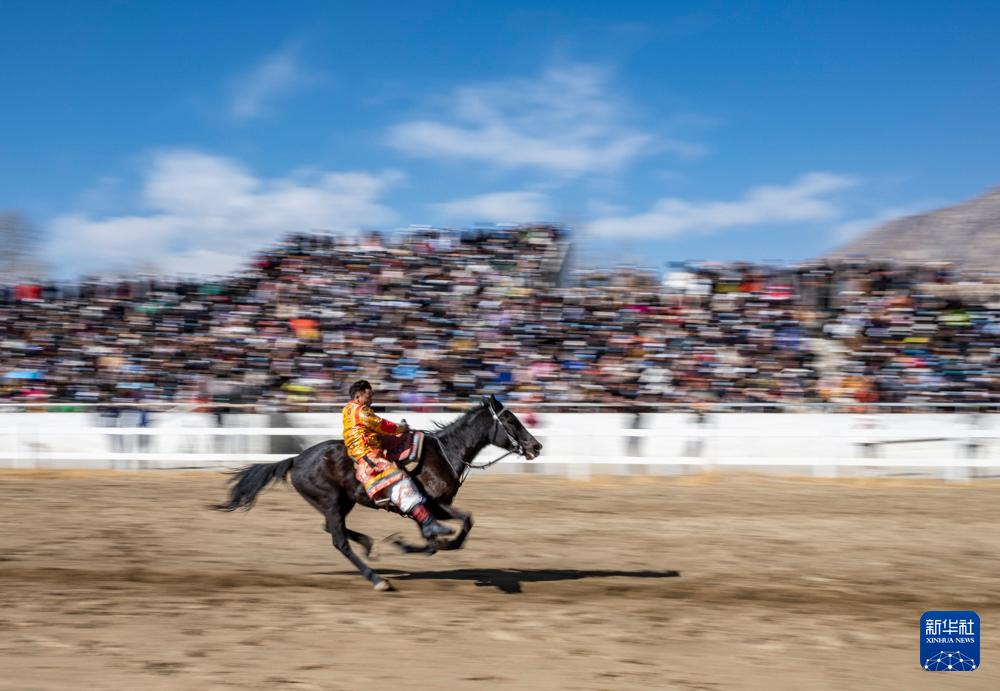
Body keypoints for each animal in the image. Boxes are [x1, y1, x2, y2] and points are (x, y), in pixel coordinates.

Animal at [213, 395, 542, 591]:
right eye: (510, 420)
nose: (536, 446)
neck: (445, 453)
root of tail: (296, 459)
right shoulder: (434, 505)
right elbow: (457, 526)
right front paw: (413, 544)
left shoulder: (429, 509)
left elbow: (437, 537)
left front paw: (405, 544)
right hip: (331, 501)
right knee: (339, 540)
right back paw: (377, 578)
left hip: (341, 502)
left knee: (334, 529)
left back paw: (371, 545)